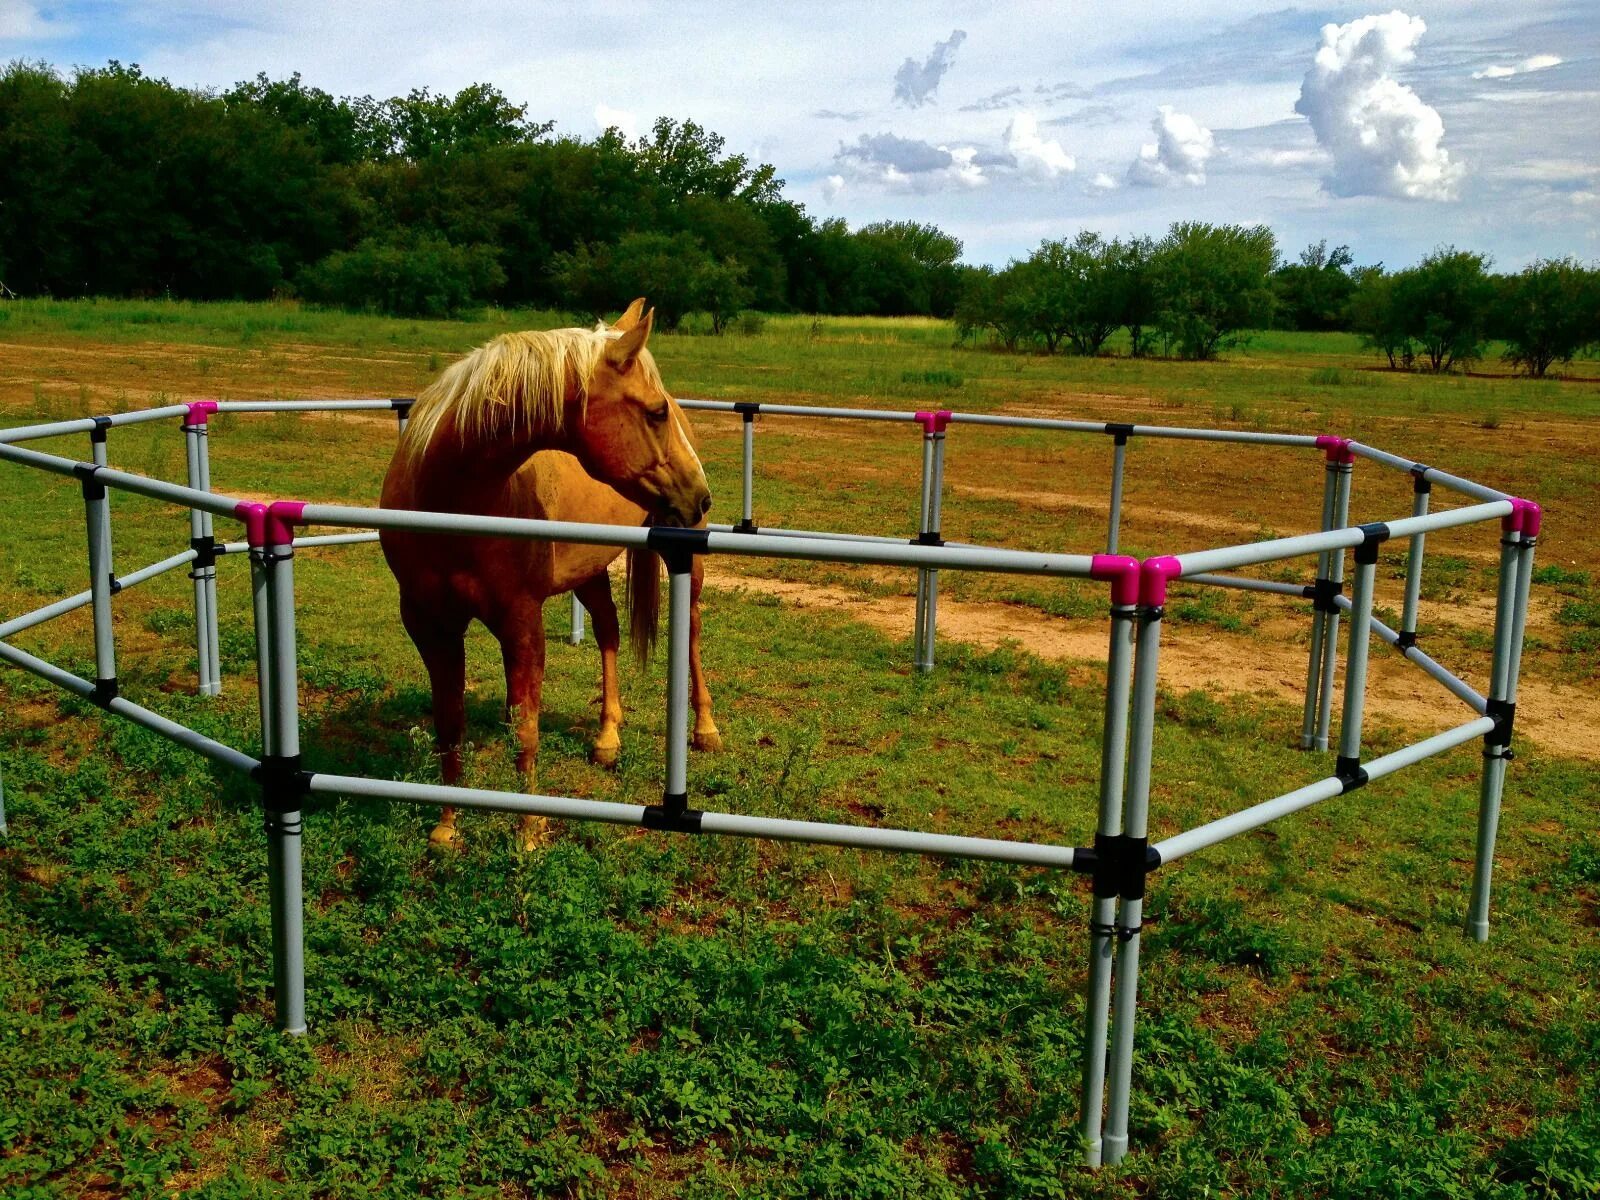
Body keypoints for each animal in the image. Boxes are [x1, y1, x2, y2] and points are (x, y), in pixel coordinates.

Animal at [380, 305, 720, 851]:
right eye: (654, 413)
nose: (701, 493)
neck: (451, 499)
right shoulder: (429, 624)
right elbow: (449, 724)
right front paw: (447, 827)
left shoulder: (521, 622)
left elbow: (526, 730)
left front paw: (528, 832)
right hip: (590, 571)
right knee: (608, 633)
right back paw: (606, 738)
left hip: (684, 553)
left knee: (690, 633)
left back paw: (706, 729)